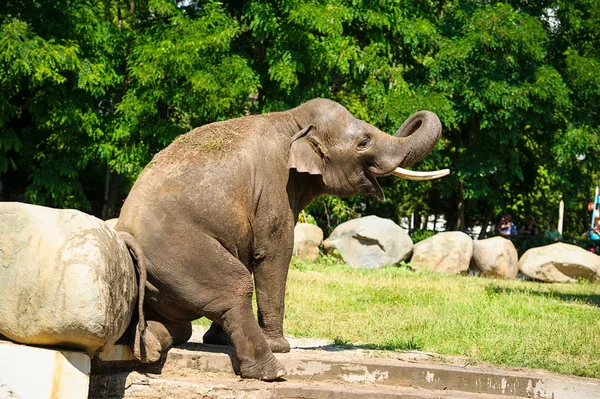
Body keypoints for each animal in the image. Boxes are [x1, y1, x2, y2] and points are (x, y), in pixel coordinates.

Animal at [115, 97, 448, 382]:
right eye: (363, 141)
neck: (293, 119)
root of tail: (123, 234)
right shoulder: (274, 186)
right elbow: (275, 253)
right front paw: (280, 346)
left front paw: (217, 341)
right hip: (182, 255)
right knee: (234, 286)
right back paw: (272, 370)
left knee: (182, 323)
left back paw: (152, 345)